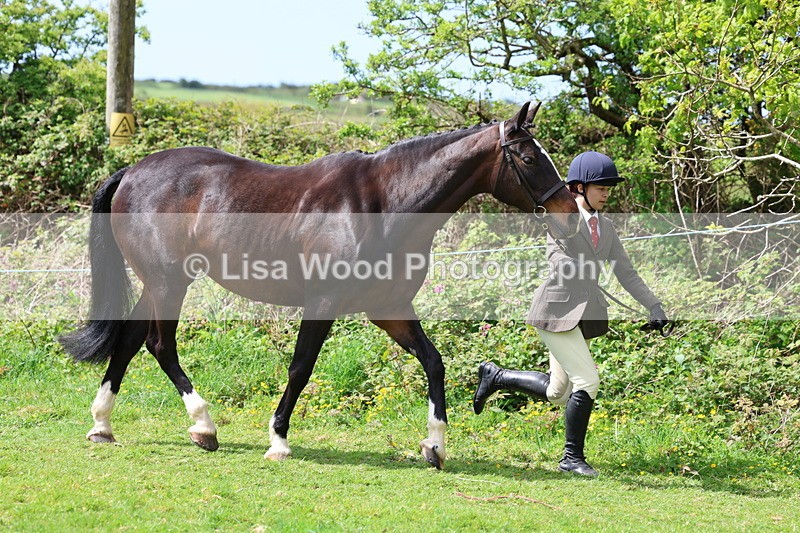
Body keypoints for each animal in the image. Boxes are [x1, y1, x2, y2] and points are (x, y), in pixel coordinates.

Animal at [59, 101, 579, 469]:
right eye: (529, 157)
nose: (572, 216)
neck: (384, 203)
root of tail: (132, 171)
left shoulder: (390, 309)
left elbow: (434, 363)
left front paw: (434, 446)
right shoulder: (323, 302)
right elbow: (301, 369)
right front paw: (278, 440)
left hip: (158, 283)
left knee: (129, 341)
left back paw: (102, 425)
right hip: (170, 282)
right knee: (159, 345)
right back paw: (204, 427)